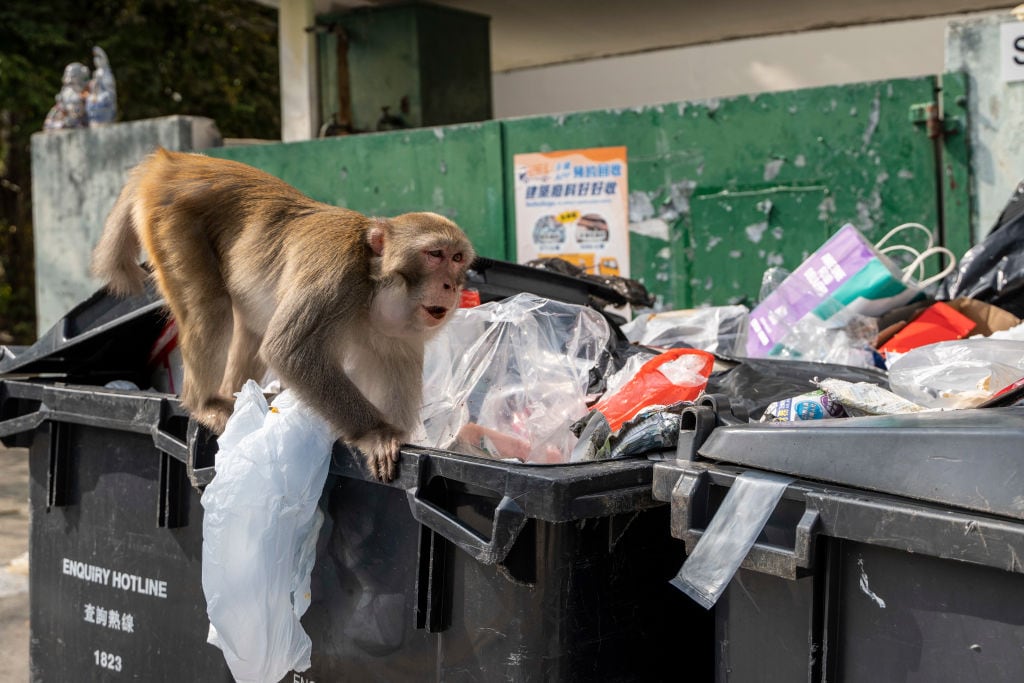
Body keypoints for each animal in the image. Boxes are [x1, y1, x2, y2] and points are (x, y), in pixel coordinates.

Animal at [92, 148, 475, 481]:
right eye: (435, 254)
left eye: (458, 259)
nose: (452, 286)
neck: (372, 286)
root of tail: (172, 161)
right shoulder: (335, 277)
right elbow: (291, 353)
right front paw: (376, 434)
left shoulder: (400, 338)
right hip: (172, 222)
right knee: (211, 306)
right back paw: (206, 404)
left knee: (250, 324)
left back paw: (240, 397)